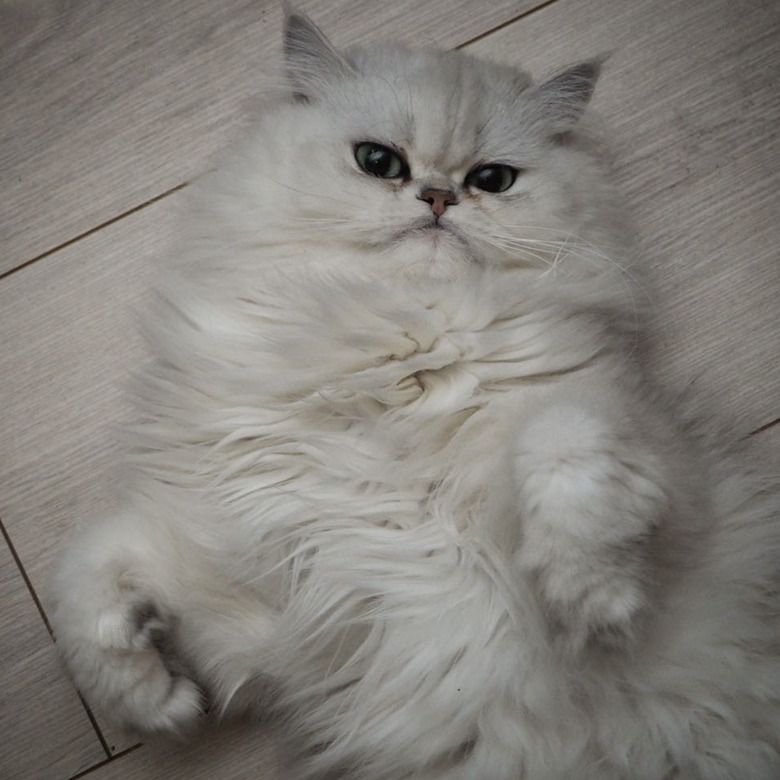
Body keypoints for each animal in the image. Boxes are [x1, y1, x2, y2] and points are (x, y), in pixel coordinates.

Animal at [50, 12, 780, 780]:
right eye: (380, 162)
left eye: (492, 179)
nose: (438, 197)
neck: (393, 364)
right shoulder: (258, 593)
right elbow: (87, 577)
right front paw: (157, 702)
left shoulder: (669, 478)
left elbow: (565, 444)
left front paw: (588, 600)